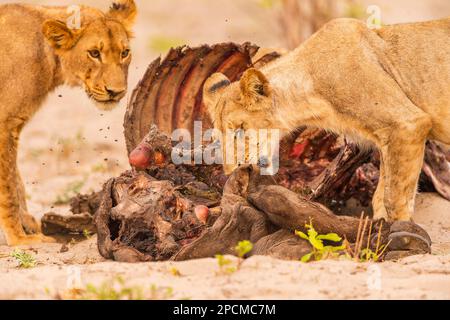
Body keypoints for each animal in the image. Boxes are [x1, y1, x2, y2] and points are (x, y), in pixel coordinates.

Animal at [0, 0, 137, 245]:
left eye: (124, 53)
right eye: (94, 53)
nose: (116, 92)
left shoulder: (11, 125)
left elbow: (16, 180)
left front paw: (28, 225)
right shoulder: (5, 123)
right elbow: (8, 188)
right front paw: (19, 238)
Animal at [205, 16, 450, 222]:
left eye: (240, 129)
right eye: (218, 138)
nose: (232, 172)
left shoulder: (406, 123)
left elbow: (395, 199)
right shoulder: (388, 139)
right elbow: (381, 195)